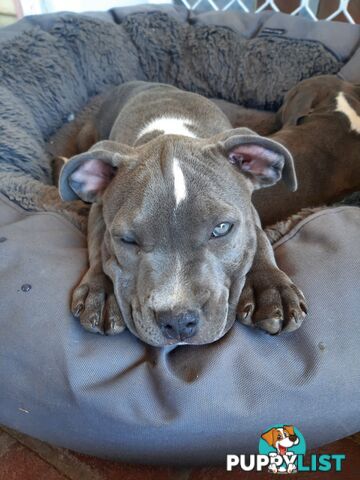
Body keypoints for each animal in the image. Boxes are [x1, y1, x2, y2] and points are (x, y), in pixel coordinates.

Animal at [59, 81, 306, 344]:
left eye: (221, 229)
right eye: (127, 240)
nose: (177, 320)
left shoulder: (249, 212)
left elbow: (259, 239)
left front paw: (271, 288)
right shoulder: (97, 208)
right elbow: (98, 246)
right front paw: (100, 294)